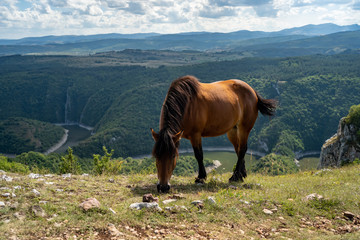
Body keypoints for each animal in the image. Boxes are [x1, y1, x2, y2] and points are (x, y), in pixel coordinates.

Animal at [150, 76, 278, 192]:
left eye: (173, 156)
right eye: (156, 156)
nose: (163, 187)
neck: (186, 104)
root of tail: (252, 91)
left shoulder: (195, 135)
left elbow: (199, 155)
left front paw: (201, 178)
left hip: (244, 128)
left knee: (242, 149)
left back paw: (235, 177)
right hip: (233, 131)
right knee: (238, 150)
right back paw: (242, 175)